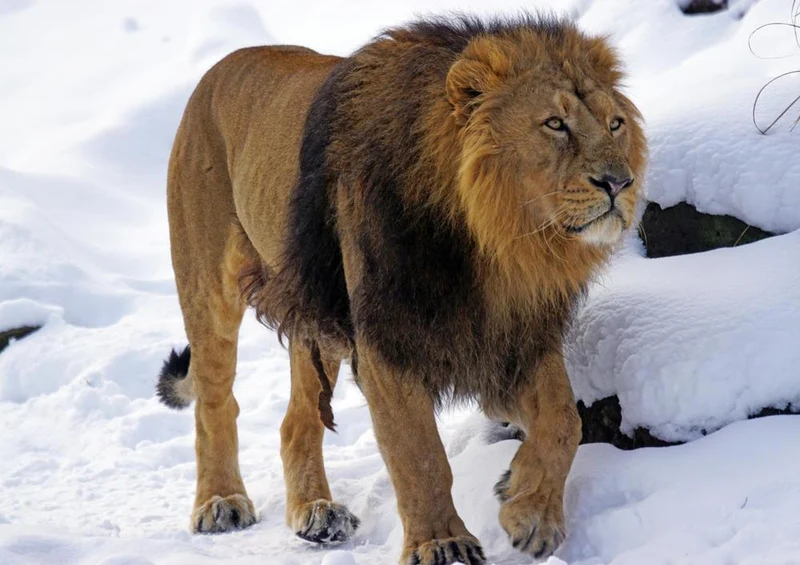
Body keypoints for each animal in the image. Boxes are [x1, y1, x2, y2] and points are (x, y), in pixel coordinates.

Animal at [156, 14, 645, 565]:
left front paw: (529, 510)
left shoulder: (515, 337)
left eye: (615, 124)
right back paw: (220, 503)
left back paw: (317, 514)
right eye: (555, 124)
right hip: (209, 288)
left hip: (315, 316)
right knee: (215, 401)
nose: (619, 183)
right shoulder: (386, 338)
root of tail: (218, 70)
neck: (496, 244)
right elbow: (420, 453)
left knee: (296, 422)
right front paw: (443, 542)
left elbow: (564, 420)